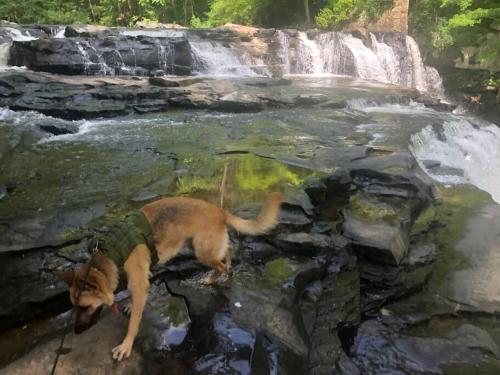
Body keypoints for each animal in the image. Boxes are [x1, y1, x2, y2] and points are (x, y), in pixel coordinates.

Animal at [56, 194, 284, 362]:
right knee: (228, 249)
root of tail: (219, 211)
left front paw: (126, 345)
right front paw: (129, 304)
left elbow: (133, 323)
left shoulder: (140, 283)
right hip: (200, 246)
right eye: (74, 307)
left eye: (84, 307)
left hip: (202, 251)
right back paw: (228, 267)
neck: (109, 258)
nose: (76, 332)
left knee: (220, 263)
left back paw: (214, 278)